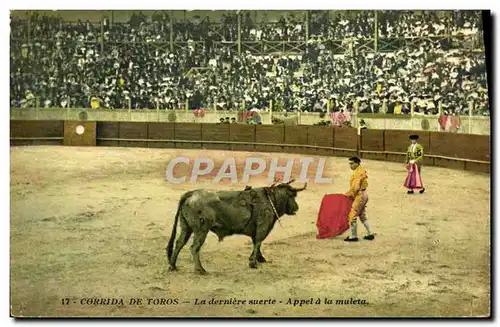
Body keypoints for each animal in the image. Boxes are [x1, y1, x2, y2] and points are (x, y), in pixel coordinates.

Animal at [166, 181, 306, 276]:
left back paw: (173, 266)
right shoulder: (263, 226)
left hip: (186, 227)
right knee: (194, 248)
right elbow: (258, 242)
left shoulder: (257, 230)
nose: (297, 207)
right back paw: (201, 270)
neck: (270, 199)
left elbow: (257, 244)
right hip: (201, 230)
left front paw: (259, 259)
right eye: (292, 196)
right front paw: (253, 263)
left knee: (179, 243)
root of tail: (192, 193)